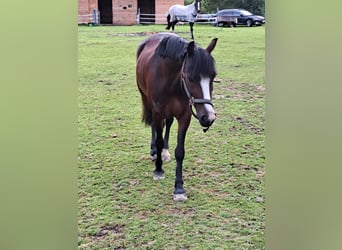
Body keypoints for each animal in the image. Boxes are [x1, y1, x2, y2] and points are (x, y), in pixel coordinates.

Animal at [136, 33, 218, 201]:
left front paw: (179, 188)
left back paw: (165, 152)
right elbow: (159, 139)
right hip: (147, 100)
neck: (171, 81)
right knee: (154, 127)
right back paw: (154, 152)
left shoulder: (184, 116)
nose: (209, 117)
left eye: (213, 77)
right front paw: (158, 170)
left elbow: (180, 151)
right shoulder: (158, 112)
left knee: (168, 124)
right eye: (191, 78)